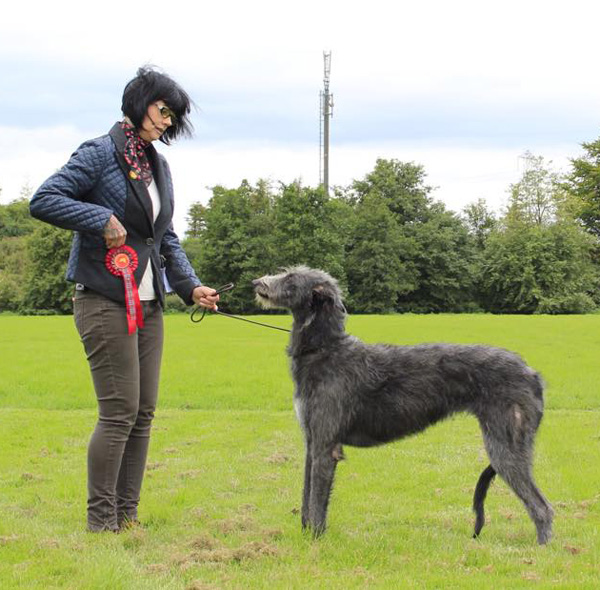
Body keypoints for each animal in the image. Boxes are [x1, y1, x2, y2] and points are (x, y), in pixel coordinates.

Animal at [253, 268, 552, 544]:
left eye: (291, 278)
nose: (256, 282)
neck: (325, 350)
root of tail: (533, 374)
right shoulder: (312, 440)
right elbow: (307, 494)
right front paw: (304, 536)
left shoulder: (326, 444)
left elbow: (316, 500)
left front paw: (315, 542)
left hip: (505, 444)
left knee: (543, 507)